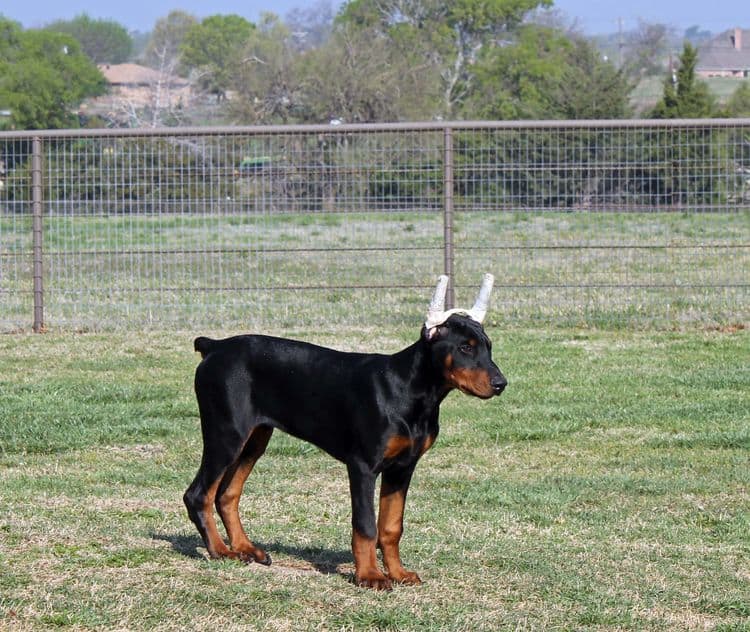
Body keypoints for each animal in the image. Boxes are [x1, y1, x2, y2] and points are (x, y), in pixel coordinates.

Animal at [185, 274, 508, 592]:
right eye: (465, 348)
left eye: (489, 346)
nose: (501, 384)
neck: (410, 390)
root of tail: (215, 346)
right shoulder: (363, 466)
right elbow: (366, 525)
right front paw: (370, 575)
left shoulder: (402, 468)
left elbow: (391, 526)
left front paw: (398, 573)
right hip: (226, 434)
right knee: (198, 494)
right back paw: (220, 551)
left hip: (254, 439)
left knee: (226, 494)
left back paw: (244, 548)